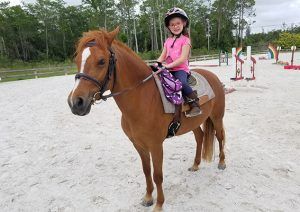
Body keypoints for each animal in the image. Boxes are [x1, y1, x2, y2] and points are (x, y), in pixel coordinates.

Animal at [68, 27, 226, 211]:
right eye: (77, 60)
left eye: (101, 61)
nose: (76, 103)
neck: (143, 97)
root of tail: (212, 76)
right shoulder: (138, 145)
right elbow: (146, 171)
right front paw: (148, 198)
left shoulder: (156, 145)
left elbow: (157, 175)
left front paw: (159, 204)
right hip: (194, 123)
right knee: (200, 138)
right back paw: (195, 165)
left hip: (217, 117)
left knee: (220, 136)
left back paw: (222, 163)